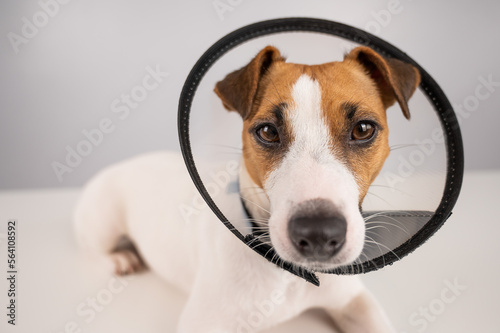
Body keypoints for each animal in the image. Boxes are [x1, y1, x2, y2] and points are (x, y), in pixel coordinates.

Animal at [73, 44, 418, 332]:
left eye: (363, 129)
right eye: (267, 131)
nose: (319, 234)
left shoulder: (354, 301)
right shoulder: (204, 321)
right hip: (103, 223)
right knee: (91, 245)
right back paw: (121, 258)